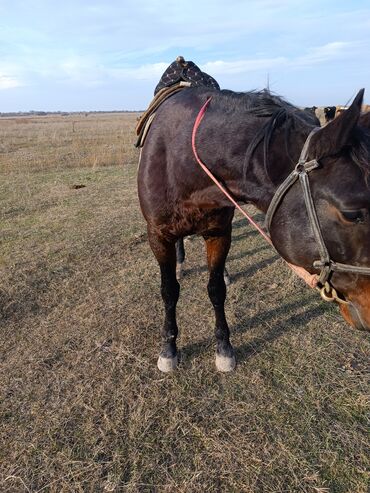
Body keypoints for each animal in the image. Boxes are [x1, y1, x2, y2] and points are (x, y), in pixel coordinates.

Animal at [138, 87, 370, 372]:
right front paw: (169, 349)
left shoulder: (219, 233)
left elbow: (216, 289)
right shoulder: (158, 237)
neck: (182, 160)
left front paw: (223, 347)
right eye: (352, 213)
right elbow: (169, 291)